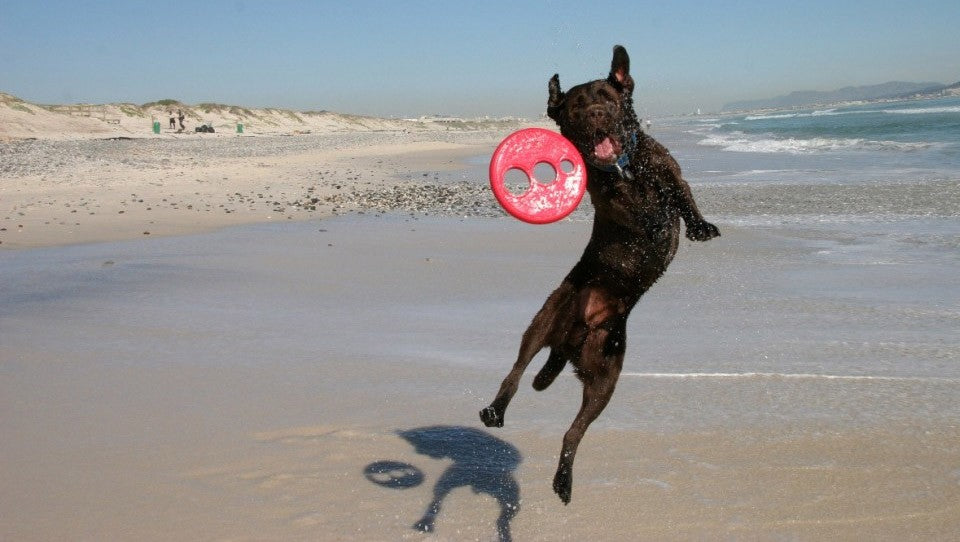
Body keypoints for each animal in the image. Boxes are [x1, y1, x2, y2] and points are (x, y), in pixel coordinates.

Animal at [480, 45, 720, 506]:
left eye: (608, 99)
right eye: (575, 106)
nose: (596, 114)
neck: (626, 165)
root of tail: (576, 336)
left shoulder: (671, 172)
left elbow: (682, 197)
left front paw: (700, 228)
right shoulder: (609, 196)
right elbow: (632, 204)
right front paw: (649, 214)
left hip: (605, 376)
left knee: (573, 431)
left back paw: (563, 480)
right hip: (544, 322)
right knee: (516, 373)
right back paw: (496, 410)